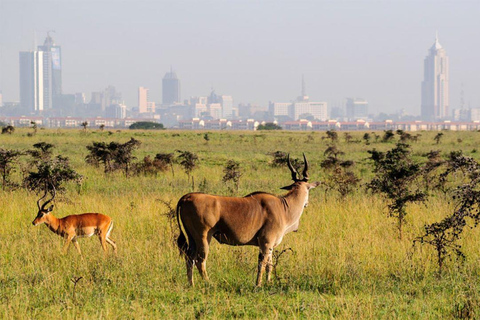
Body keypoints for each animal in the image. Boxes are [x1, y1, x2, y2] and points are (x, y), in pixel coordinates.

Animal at [175, 154, 318, 286]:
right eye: (309, 189)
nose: (307, 204)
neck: (283, 207)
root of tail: (187, 197)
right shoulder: (266, 243)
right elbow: (262, 264)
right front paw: (258, 285)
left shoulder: (270, 246)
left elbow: (269, 265)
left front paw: (268, 282)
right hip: (204, 237)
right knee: (200, 260)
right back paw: (209, 283)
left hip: (192, 238)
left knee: (189, 258)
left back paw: (191, 284)